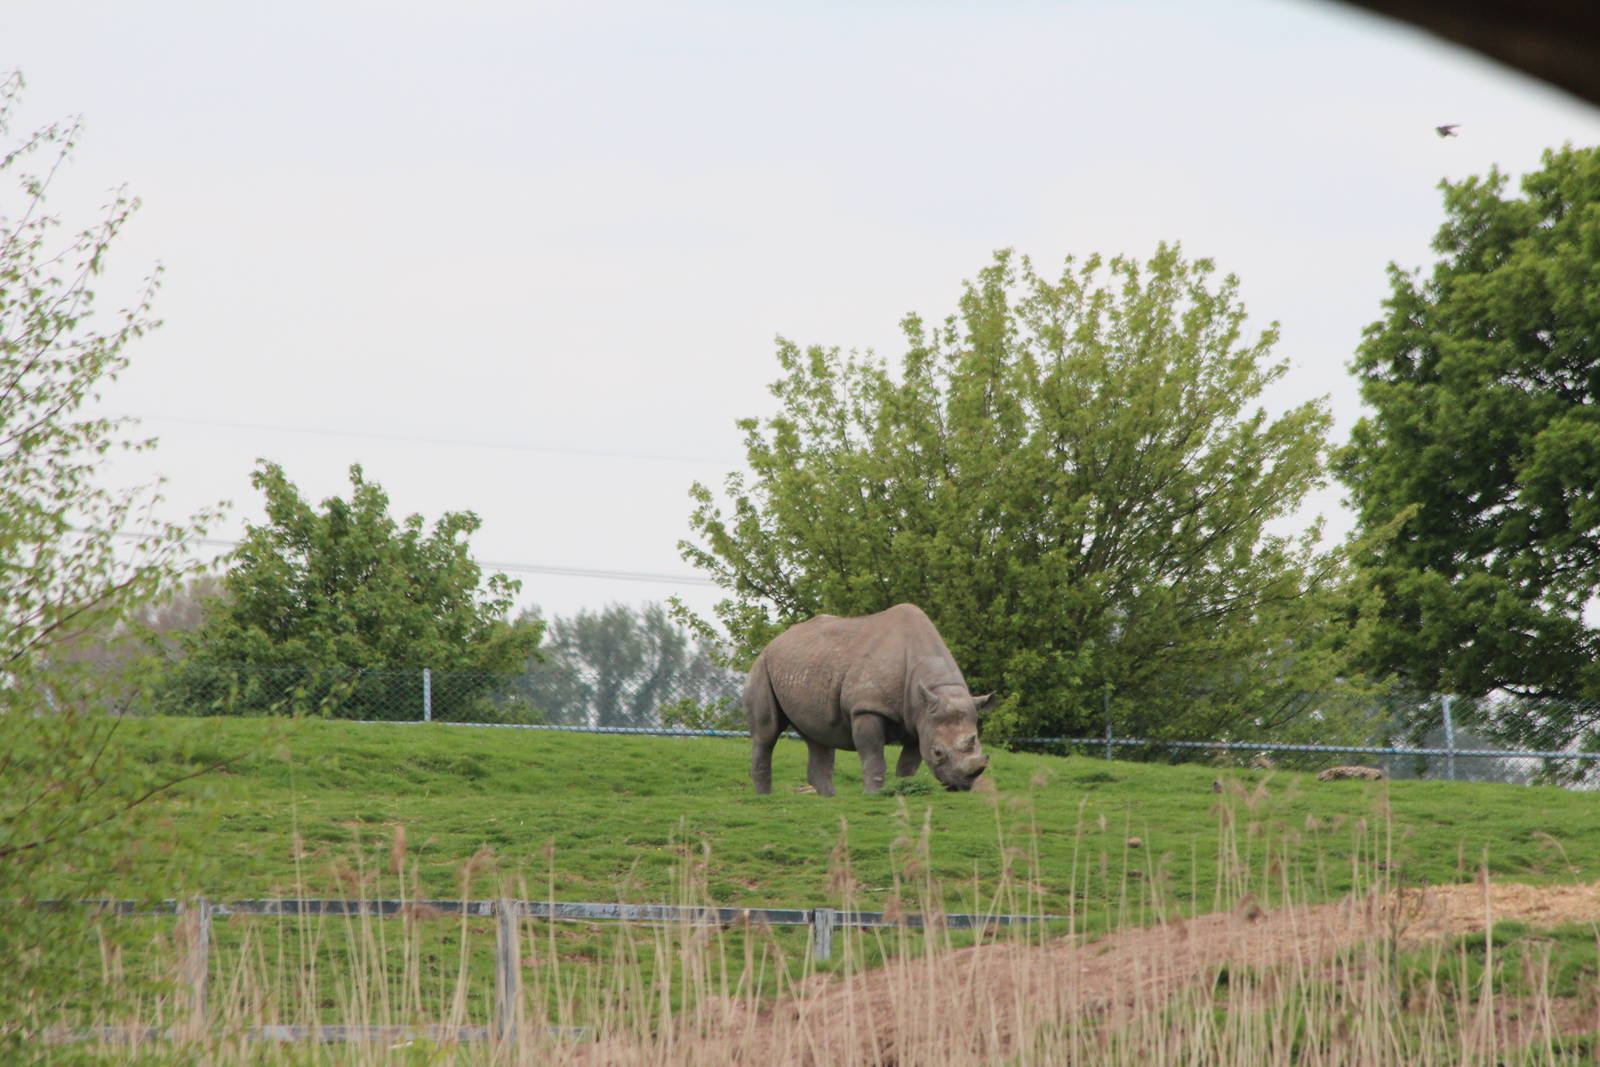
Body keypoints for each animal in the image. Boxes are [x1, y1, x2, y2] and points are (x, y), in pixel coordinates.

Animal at [744, 603, 993, 796]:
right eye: (938, 752)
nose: (961, 785)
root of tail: (775, 639)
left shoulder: (919, 720)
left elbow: (908, 764)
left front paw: (904, 790)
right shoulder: (867, 708)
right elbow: (873, 755)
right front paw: (874, 794)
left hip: (806, 664)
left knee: (818, 736)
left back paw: (831, 799)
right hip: (762, 665)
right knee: (767, 733)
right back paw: (765, 797)